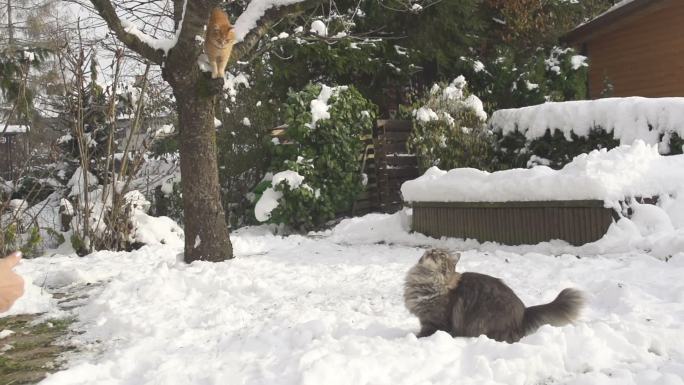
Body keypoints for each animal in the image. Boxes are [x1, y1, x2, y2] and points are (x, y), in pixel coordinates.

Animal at [404, 249, 584, 342]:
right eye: (431, 251)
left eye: (441, 255)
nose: (431, 251)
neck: (426, 279)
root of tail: (524, 312)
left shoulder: (435, 322)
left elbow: (424, 333)